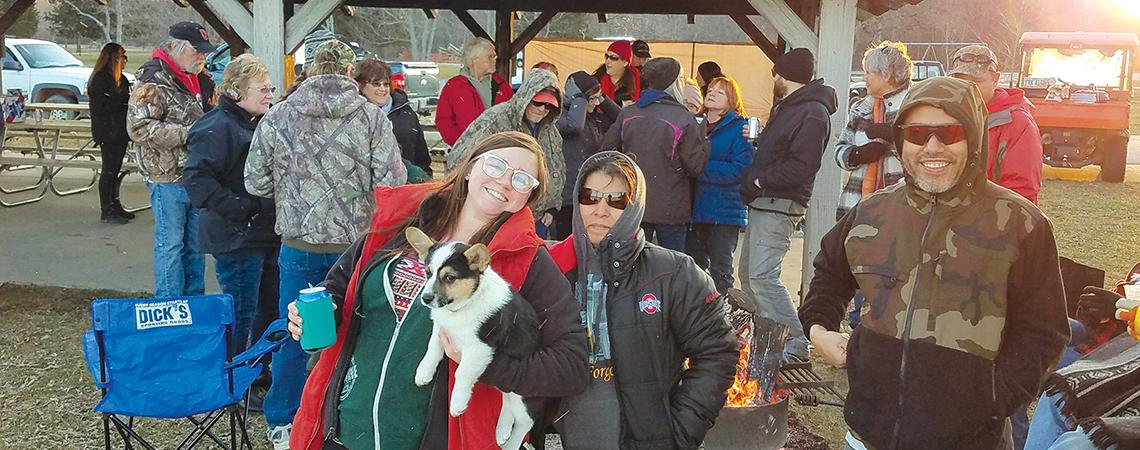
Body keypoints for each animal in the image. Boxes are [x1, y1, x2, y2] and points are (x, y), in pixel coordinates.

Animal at [408, 228, 544, 450]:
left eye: (450, 278)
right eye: (428, 273)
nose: (425, 299)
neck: (465, 304)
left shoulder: (479, 350)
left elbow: (462, 374)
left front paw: (457, 403)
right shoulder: (441, 327)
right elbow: (432, 347)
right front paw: (423, 372)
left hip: (524, 395)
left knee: (525, 421)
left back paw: (510, 443)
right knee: (506, 399)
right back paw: (502, 429)